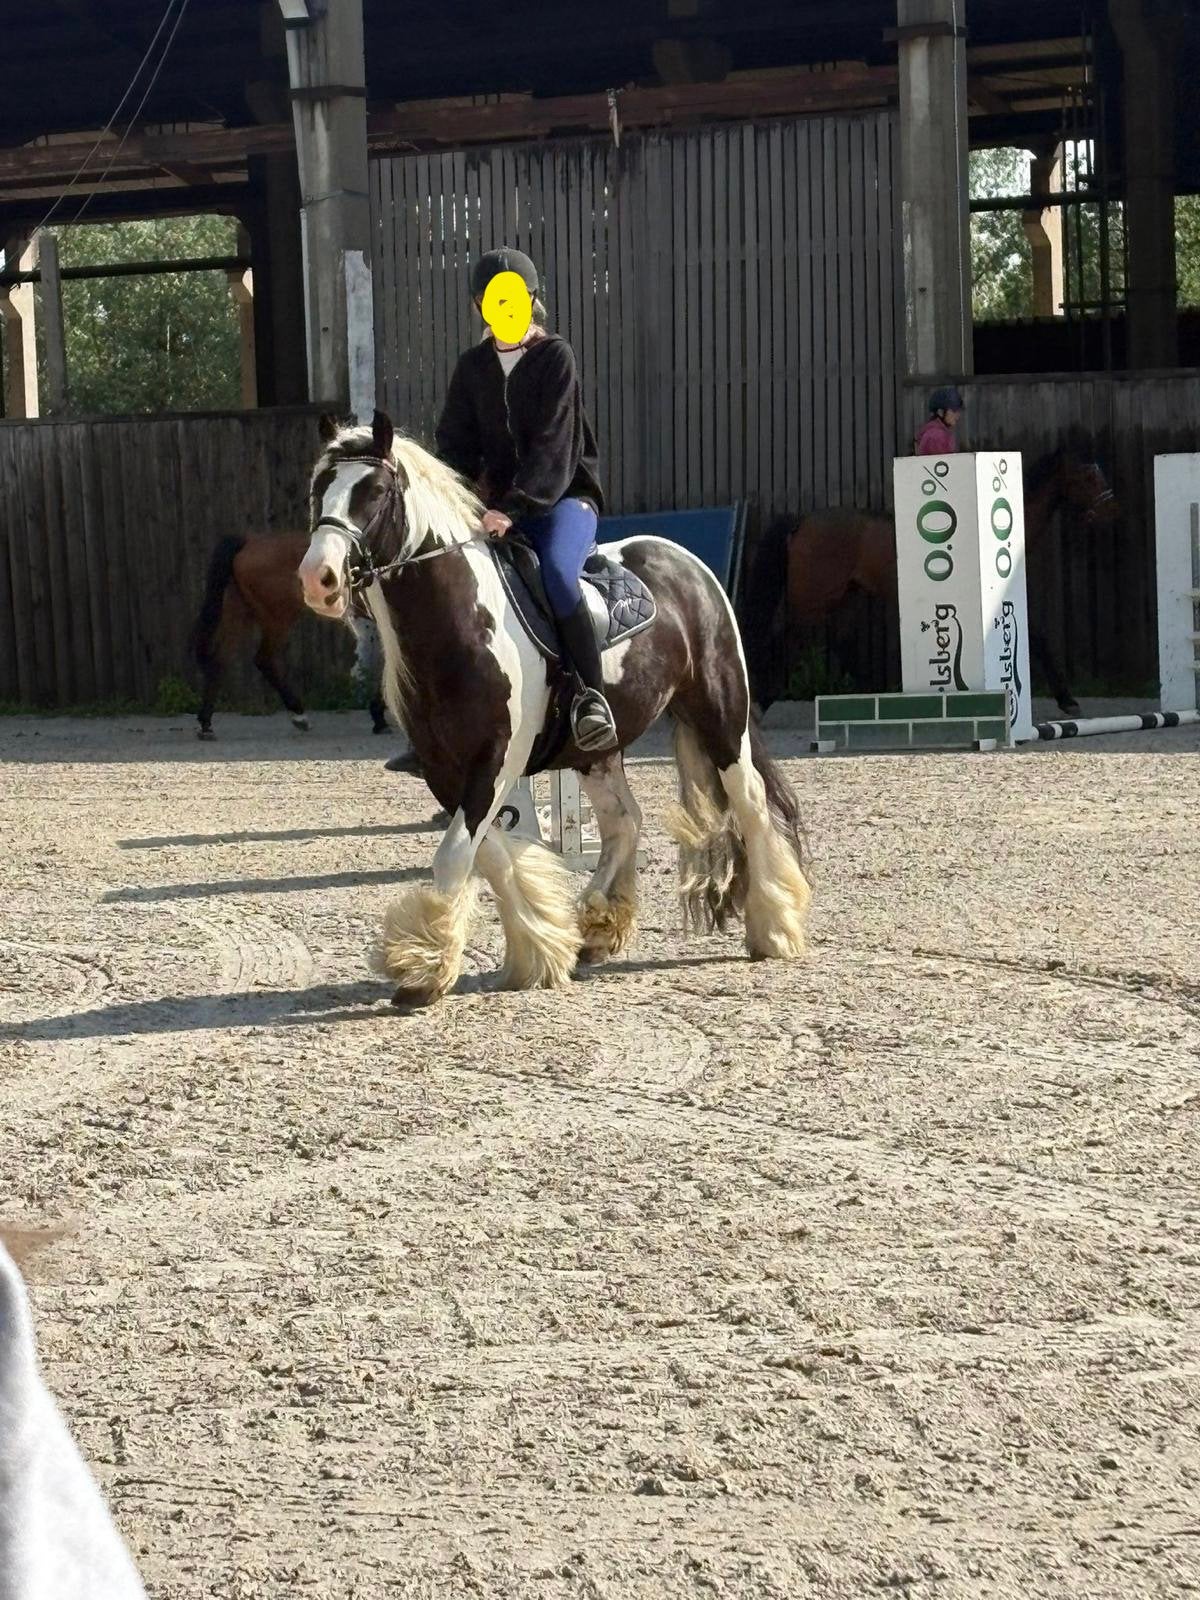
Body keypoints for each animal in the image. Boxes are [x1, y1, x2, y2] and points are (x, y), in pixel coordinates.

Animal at [191, 531, 390, 740]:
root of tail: (249, 543)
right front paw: (379, 716)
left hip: (239, 612)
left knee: (220, 659)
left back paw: (206, 723)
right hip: (279, 617)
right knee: (264, 659)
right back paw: (299, 714)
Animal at [296, 411, 811, 1008]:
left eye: (376, 491)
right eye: (319, 489)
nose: (319, 579)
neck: (459, 625)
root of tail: (686, 564)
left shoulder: (496, 761)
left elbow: (456, 855)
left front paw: (423, 967)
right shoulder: (446, 772)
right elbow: (491, 854)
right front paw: (540, 946)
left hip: (720, 714)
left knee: (749, 803)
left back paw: (774, 927)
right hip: (597, 750)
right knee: (624, 823)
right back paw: (599, 927)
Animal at [742, 448, 1120, 715]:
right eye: (1088, 476)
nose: (1110, 512)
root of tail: (802, 521)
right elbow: (1040, 637)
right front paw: (1068, 699)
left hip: (842, 597)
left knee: (835, 643)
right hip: (813, 602)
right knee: (785, 642)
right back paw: (762, 701)